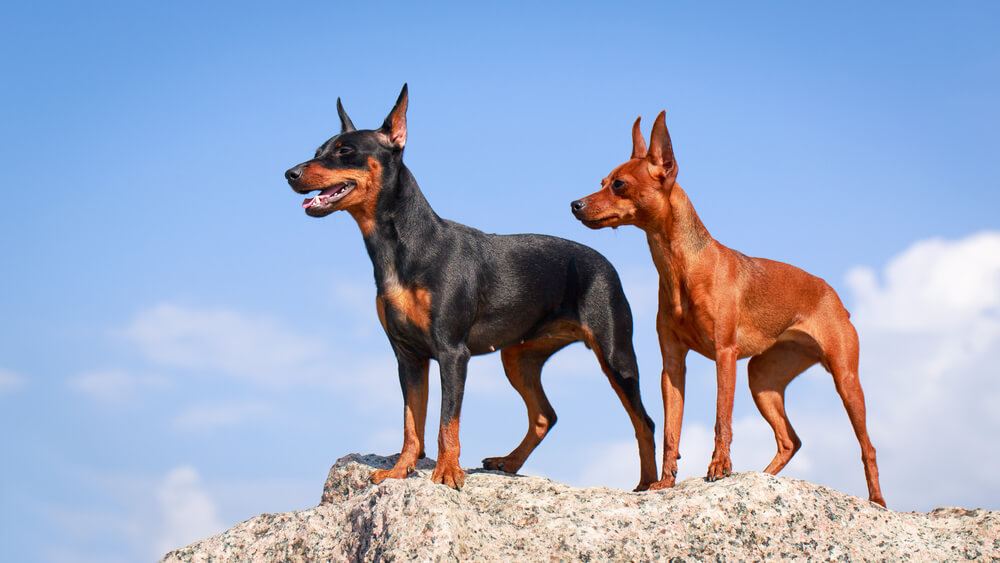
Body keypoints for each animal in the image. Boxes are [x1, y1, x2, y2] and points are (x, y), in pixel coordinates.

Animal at [284, 86, 656, 492]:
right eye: (318, 149)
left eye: (344, 151)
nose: (290, 173)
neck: (404, 245)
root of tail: (606, 262)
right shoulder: (408, 357)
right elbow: (411, 424)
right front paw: (400, 470)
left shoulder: (452, 352)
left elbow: (447, 421)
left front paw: (447, 472)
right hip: (518, 358)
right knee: (545, 415)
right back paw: (508, 462)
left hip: (615, 355)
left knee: (645, 422)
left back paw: (651, 484)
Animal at [568, 111, 888, 506]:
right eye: (601, 182)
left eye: (619, 184)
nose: (575, 204)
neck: (681, 267)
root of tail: (834, 295)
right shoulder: (672, 367)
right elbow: (671, 430)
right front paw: (665, 480)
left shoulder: (724, 354)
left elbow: (721, 419)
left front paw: (719, 468)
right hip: (762, 378)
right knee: (789, 440)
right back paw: (764, 478)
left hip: (845, 379)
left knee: (867, 446)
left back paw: (877, 501)